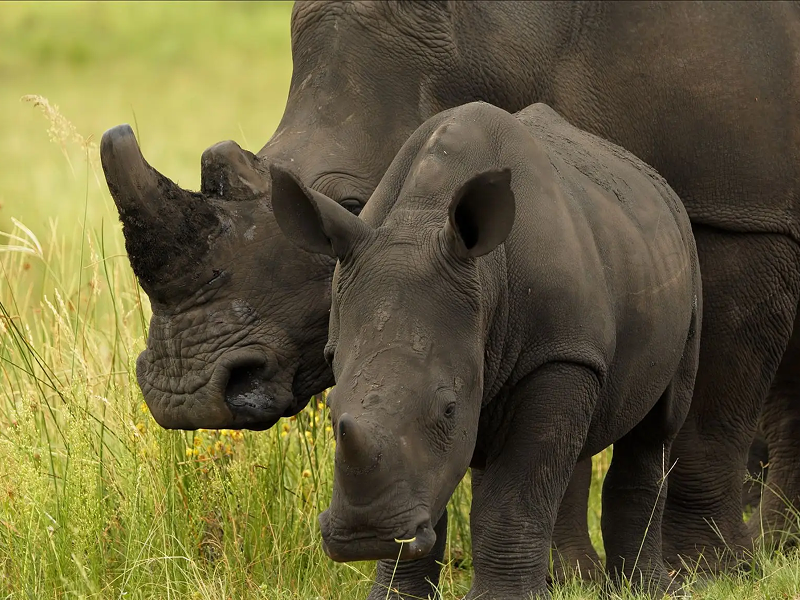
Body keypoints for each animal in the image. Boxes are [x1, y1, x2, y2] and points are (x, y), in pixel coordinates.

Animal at [272, 101, 702, 599]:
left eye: (448, 408)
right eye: (331, 408)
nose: (365, 537)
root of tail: (657, 183)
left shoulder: (560, 353)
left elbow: (515, 494)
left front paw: (503, 598)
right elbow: (432, 473)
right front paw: (396, 592)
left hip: (686, 256)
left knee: (657, 427)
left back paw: (649, 590)